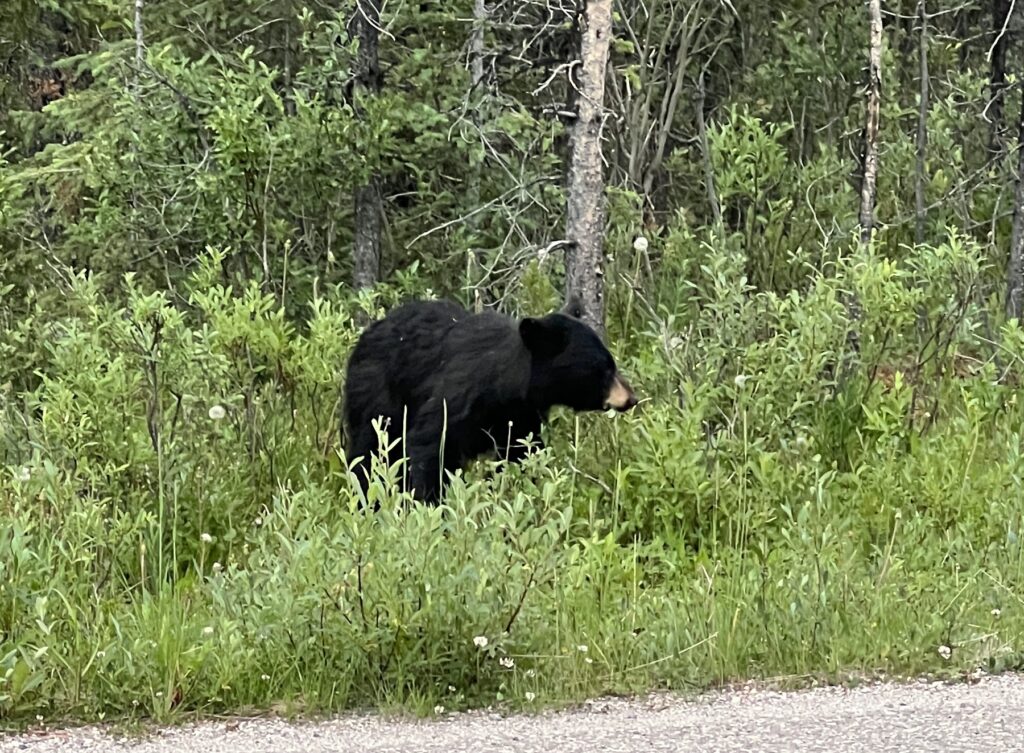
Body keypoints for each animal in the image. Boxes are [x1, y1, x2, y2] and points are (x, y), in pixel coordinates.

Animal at [342, 298, 638, 503]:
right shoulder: (458, 401)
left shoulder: (520, 417)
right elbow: (430, 446)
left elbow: (524, 453)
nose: (631, 398)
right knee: (369, 453)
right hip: (377, 398)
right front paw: (429, 508)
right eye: (604, 368)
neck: (508, 388)